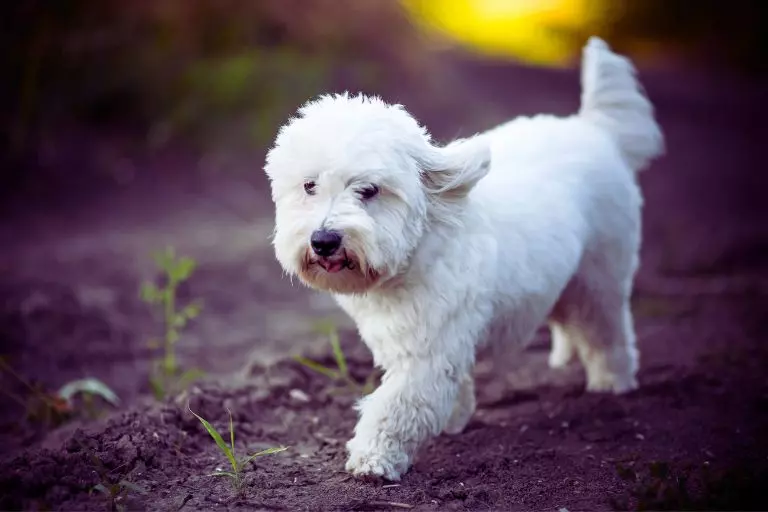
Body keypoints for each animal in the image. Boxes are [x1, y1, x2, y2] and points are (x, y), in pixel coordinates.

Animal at [264, 38, 660, 482]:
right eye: (309, 186)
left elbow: (396, 406)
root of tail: (593, 128)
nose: (324, 240)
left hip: (600, 277)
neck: (417, 249)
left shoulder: (428, 352)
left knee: (606, 330)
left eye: (369, 190)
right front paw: (454, 417)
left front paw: (374, 457)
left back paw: (613, 381)